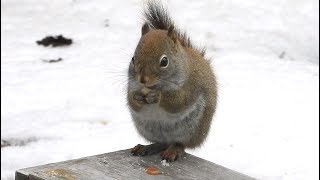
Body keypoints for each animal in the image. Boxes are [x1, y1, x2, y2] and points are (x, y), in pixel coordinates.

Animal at [126, 1, 216, 162]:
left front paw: (157, 96)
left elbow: (179, 102)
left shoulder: (191, 85)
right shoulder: (131, 84)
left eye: (164, 61)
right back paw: (146, 147)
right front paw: (136, 97)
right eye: (133, 59)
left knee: (180, 143)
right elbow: (132, 102)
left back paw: (173, 150)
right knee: (160, 142)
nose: (142, 79)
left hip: (192, 130)